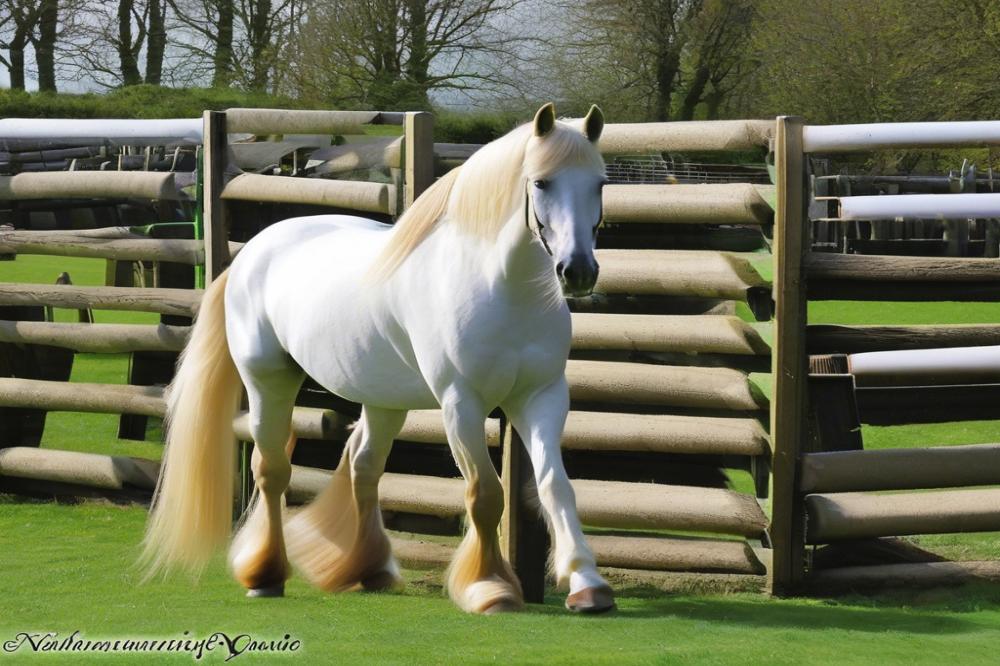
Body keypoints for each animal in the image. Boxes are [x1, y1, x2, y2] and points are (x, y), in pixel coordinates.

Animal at [138, 102, 612, 612]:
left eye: (600, 183)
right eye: (541, 182)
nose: (578, 271)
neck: (500, 286)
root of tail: (251, 254)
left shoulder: (540, 397)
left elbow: (554, 486)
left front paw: (587, 582)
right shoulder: (461, 403)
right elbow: (485, 494)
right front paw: (491, 588)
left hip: (384, 401)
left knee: (363, 469)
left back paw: (369, 570)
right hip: (268, 382)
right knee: (272, 471)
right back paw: (265, 574)